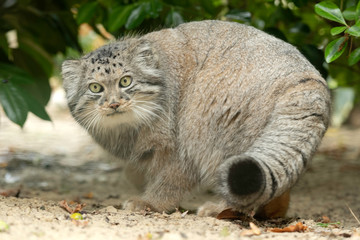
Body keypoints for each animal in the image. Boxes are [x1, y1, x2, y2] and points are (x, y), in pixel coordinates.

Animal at [61, 20, 330, 218]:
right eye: (95, 88)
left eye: (125, 81)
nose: (114, 103)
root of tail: (305, 76)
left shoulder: (178, 148)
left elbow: (171, 179)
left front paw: (152, 203)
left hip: (204, 123)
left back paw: (225, 210)